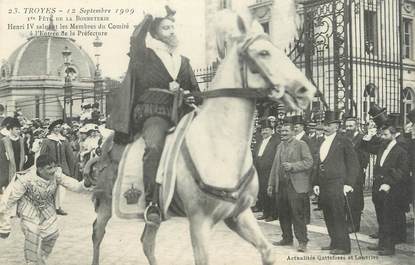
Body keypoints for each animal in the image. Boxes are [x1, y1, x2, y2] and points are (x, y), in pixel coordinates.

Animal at [90, 9, 316, 262]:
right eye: (264, 52)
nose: (306, 90)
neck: (220, 147)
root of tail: (107, 143)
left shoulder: (239, 215)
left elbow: (267, 251)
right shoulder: (200, 222)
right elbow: (136, 45)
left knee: (147, 243)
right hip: (106, 202)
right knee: (98, 234)